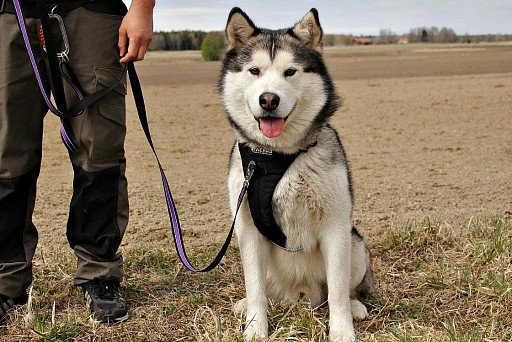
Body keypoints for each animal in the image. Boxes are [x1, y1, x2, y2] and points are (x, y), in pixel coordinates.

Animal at [218, 7, 374, 340]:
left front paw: (342, 331)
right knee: (263, 289)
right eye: (254, 71)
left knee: (344, 289)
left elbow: (338, 291)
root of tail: (301, 294)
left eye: (290, 72)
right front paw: (255, 327)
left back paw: (356, 306)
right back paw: (245, 304)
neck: (278, 156)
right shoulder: (247, 229)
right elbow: (255, 288)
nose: (268, 99)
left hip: (354, 243)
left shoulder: (336, 226)